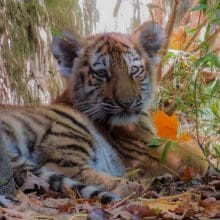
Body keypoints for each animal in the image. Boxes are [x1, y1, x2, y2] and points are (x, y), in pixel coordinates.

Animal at [0, 21, 208, 205]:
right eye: (101, 73)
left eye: (134, 70)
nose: (126, 103)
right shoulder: (150, 151)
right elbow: (196, 154)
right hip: (68, 133)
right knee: (71, 173)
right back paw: (132, 187)